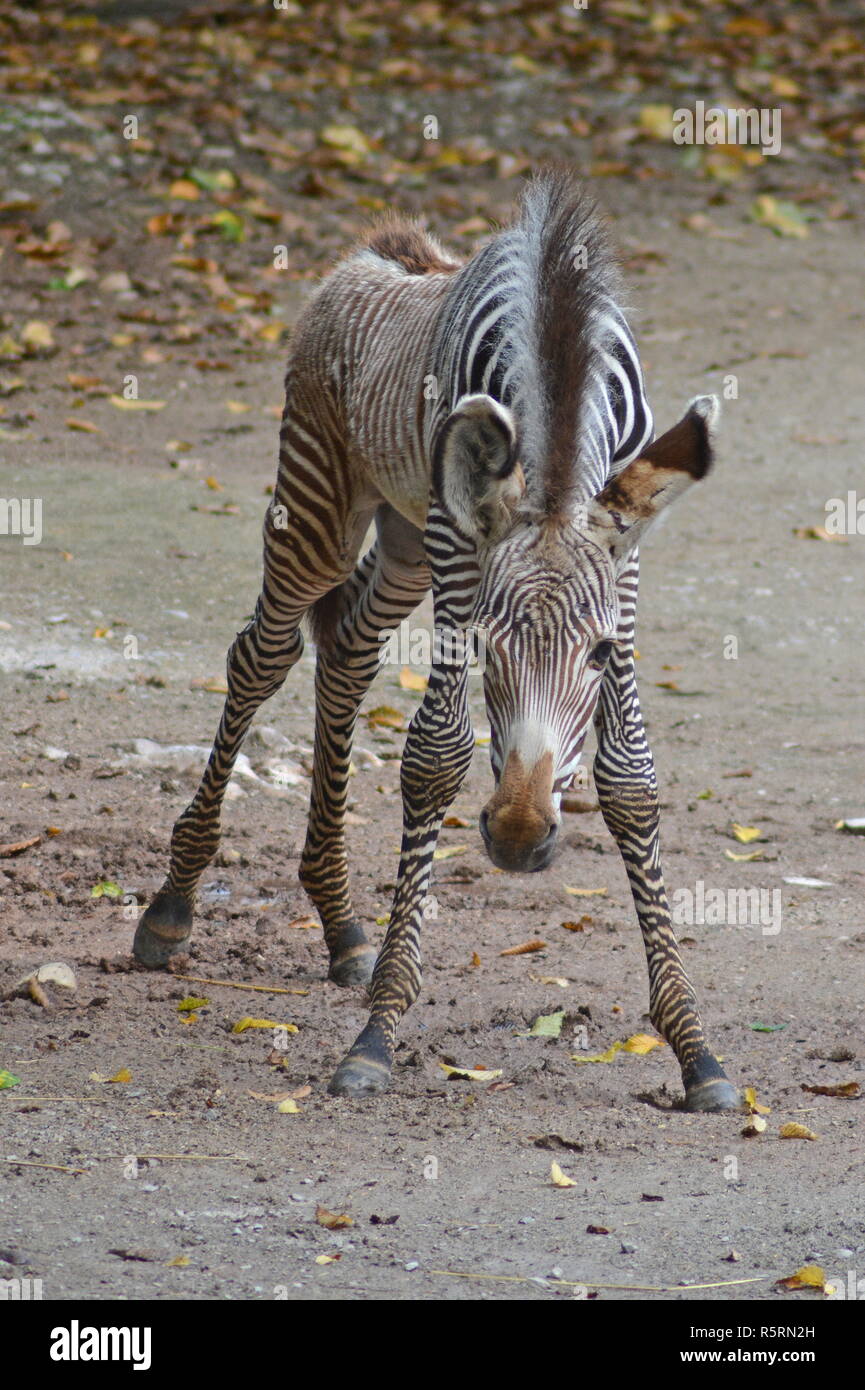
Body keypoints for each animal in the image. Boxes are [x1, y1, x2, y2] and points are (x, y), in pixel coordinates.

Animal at [135, 168, 739, 1112]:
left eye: (600, 655)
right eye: (488, 647)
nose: (520, 838)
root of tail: (383, 255)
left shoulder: (625, 567)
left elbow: (631, 778)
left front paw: (695, 1050)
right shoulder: (464, 555)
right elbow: (435, 754)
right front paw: (377, 1036)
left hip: (407, 540)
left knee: (346, 648)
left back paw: (341, 922)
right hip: (322, 501)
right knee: (262, 655)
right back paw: (174, 905)